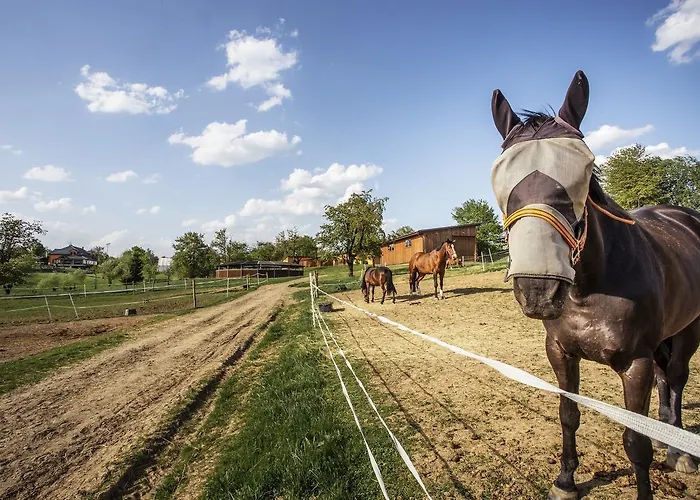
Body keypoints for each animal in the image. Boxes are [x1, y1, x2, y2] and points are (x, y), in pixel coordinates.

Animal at [489, 70, 700, 500]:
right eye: (500, 181)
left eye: (582, 177)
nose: (538, 290)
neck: (589, 293)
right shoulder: (560, 352)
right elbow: (568, 415)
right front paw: (566, 481)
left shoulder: (635, 363)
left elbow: (636, 442)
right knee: (666, 383)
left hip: (689, 331)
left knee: (677, 379)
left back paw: (681, 452)